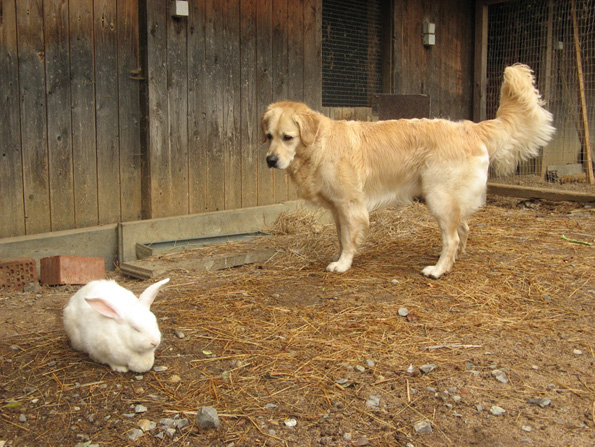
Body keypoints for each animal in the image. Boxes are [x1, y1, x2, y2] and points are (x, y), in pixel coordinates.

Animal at [260, 65, 556, 278]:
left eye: (288, 137)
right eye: (269, 136)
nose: (270, 160)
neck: (319, 144)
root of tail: (469, 127)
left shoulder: (350, 205)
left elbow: (347, 238)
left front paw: (343, 264)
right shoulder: (337, 209)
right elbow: (341, 237)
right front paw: (340, 257)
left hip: (439, 197)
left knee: (451, 237)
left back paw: (438, 269)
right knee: (463, 228)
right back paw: (454, 261)